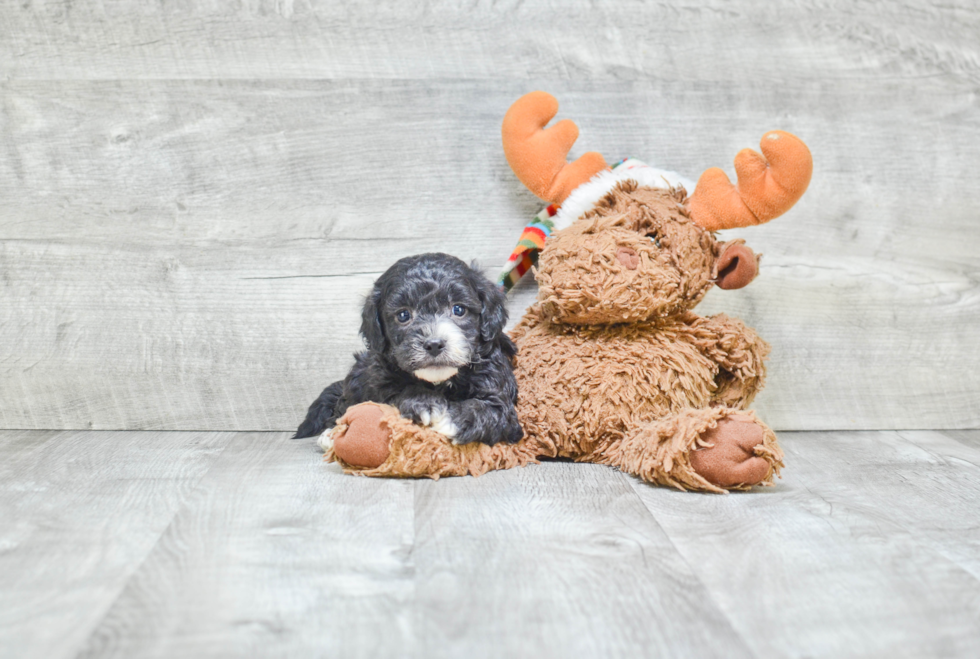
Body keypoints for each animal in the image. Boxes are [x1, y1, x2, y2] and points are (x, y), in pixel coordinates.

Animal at [294, 253, 524, 448]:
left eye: (459, 309)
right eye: (403, 315)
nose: (434, 344)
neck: (439, 382)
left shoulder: (497, 387)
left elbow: (491, 410)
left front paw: (453, 420)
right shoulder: (379, 381)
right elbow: (397, 391)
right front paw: (423, 403)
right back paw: (330, 435)